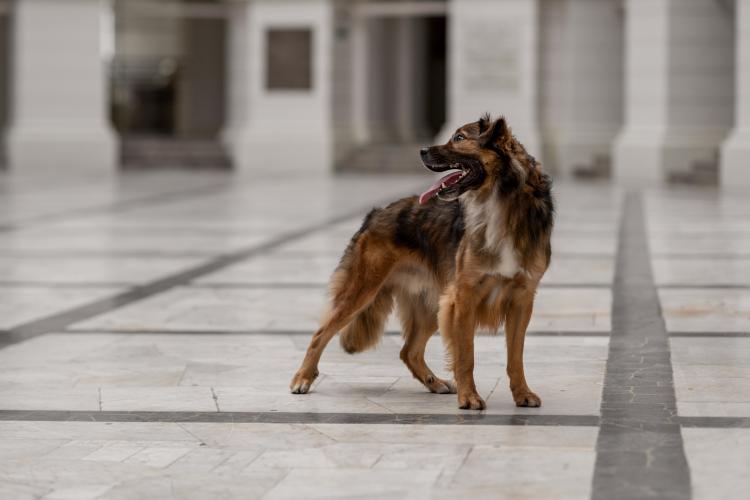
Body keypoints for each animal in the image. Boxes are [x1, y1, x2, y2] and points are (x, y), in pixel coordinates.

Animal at [290, 116, 556, 410]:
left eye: (460, 138)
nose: (422, 150)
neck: (501, 203)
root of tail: (376, 213)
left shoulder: (522, 298)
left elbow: (515, 357)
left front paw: (522, 393)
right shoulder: (464, 297)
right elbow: (466, 355)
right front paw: (469, 397)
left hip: (433, 304)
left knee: (409, 351)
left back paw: (435, 383)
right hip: (362, 291)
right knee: (320, 334)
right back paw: (302, 378)